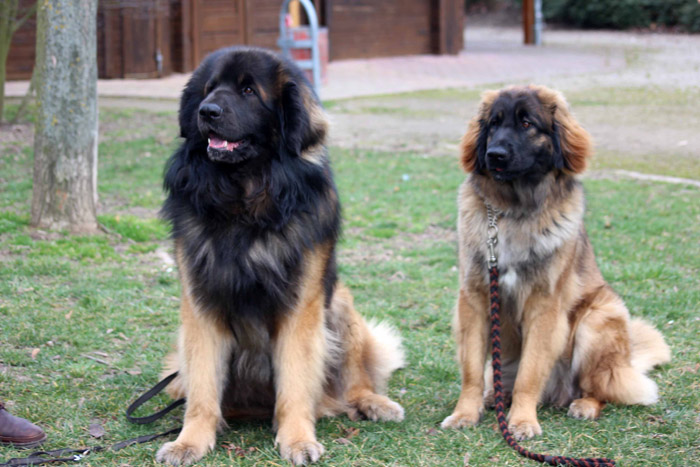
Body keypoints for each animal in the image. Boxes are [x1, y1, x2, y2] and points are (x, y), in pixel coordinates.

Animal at [155, 47, 405, 466]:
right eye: (210, 88)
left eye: (248, 91)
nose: (207, 111)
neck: (244, 202)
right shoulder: (202, 305)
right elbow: (203, 386)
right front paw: (189, 441)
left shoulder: (301, 307)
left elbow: (295, 380)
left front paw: (297, 438)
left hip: (340, 306)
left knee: (354, 380)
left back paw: (373, 402)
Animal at [441, 85, 671, 440]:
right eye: (493, 124)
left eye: (527, 123)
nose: (494, 155)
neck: (513, 213)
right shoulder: (474, 300)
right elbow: (471, 371)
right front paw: (465, 413)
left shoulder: (544, 308)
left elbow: (530, 372)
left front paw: (522, 420)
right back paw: (494, 397)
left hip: (599, 319)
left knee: (601, 388)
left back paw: (584, 405)